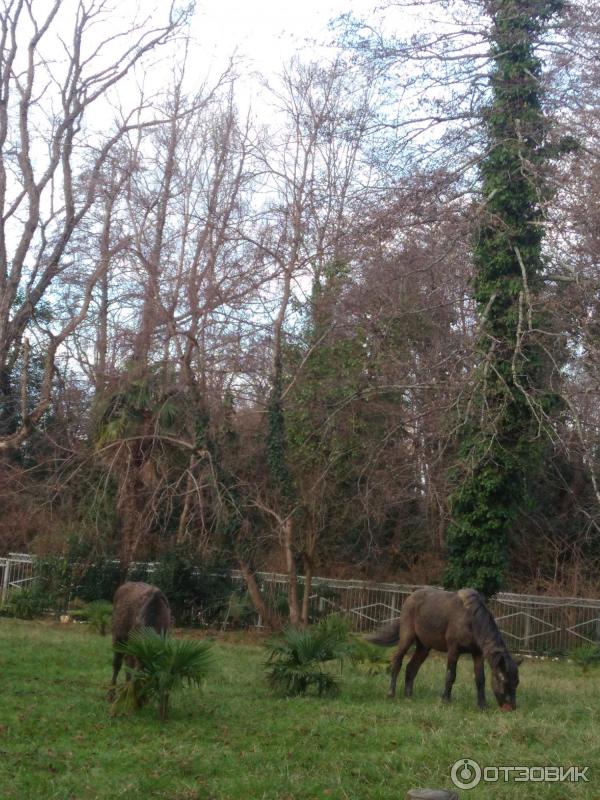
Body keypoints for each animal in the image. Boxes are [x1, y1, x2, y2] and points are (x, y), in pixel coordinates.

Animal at [370, 584, 520, 708]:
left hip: (424, 647)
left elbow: (480, 679)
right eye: (503, 680)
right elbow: (450, 675)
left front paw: (482, 705)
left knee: (411, 668)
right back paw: (391, 693)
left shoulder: (477, 653)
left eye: (516, 682)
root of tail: (411, 596)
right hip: (407, 638)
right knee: (397, 661)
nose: (510, 707)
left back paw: (408, 696)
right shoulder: (453, 650)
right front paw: (445, 700)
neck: (471, 620)